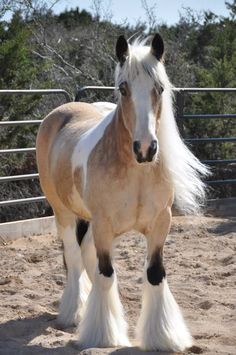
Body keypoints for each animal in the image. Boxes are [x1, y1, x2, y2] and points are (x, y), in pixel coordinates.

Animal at [36, 34, 207, 354]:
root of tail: (62, 112)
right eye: (124, 88)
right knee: (75, 258)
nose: (145, 148)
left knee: (86, 256)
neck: (136, 172)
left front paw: (162, 337)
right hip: (63, 212)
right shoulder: (103, 225)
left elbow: (154, 274)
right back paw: (74, 313)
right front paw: (103, 336)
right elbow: (105, 273)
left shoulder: (160, 224)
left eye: (159, 88)